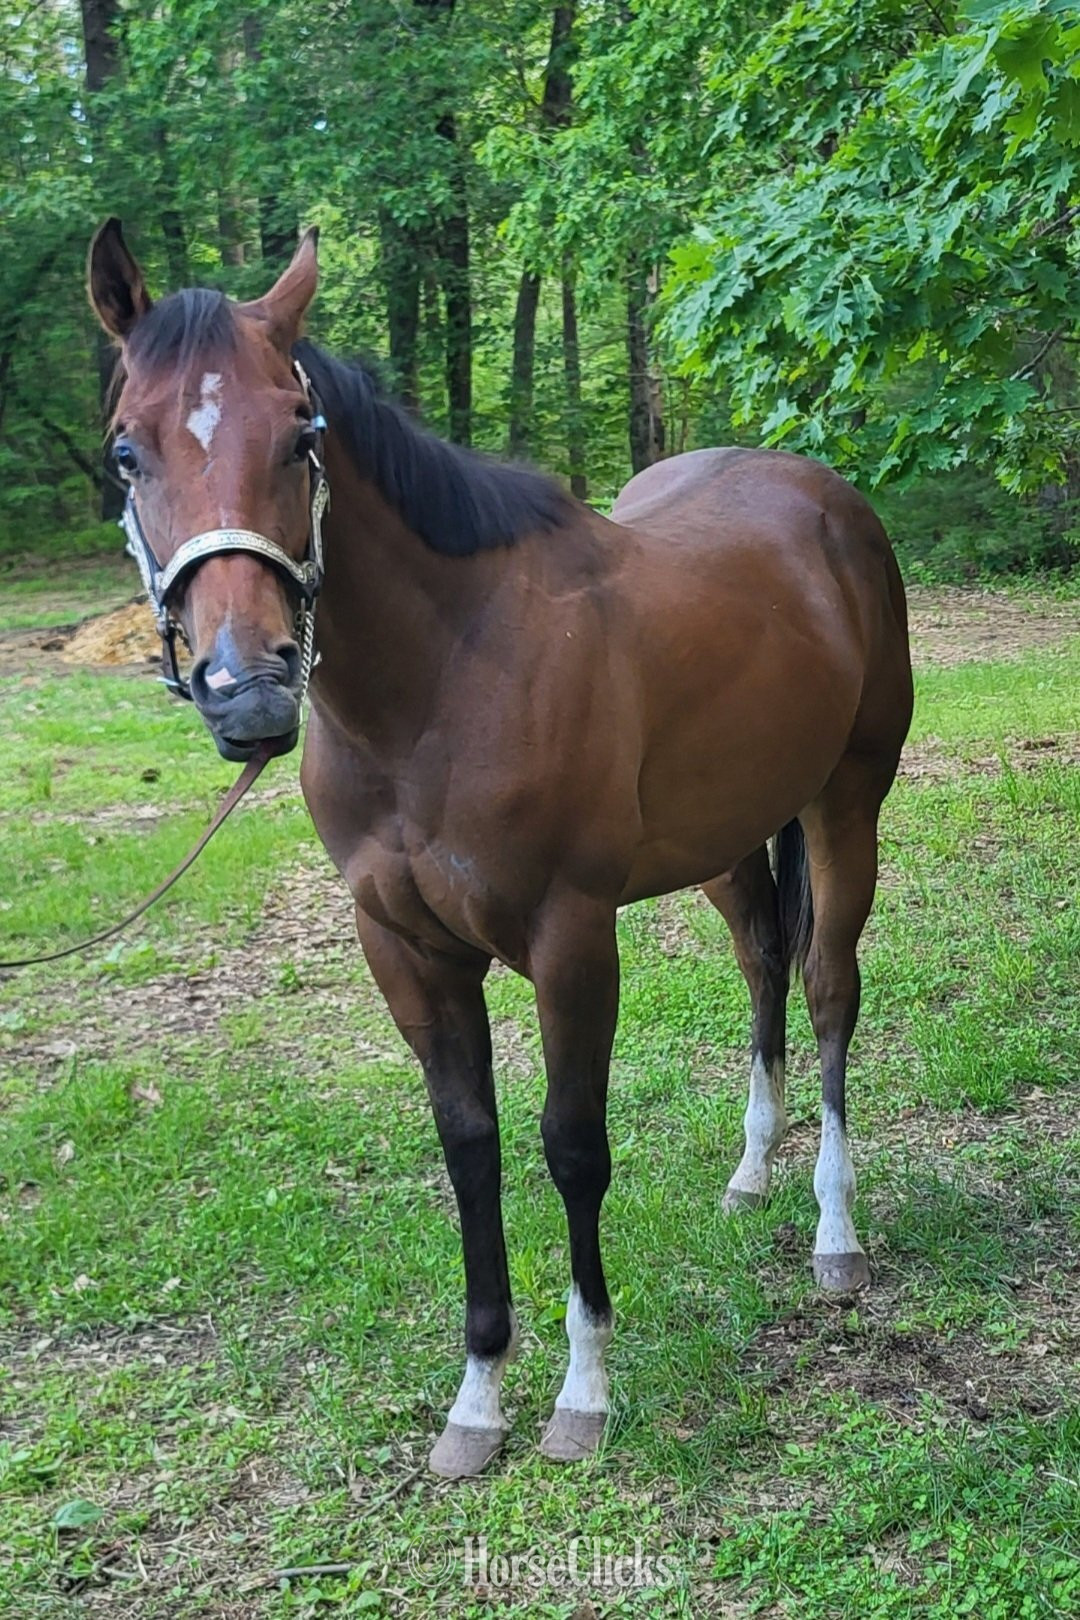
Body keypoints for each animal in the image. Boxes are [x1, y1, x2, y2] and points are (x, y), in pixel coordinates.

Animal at [87, 220, 913, 1479]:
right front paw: (476, 1400)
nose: (252, 691)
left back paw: (833, 1229)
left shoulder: (571, 938)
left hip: (843, 804)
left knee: (827, 988)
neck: (446, 681)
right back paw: (750, 1173)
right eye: (128, 452)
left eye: (302, 433)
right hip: (729, 843)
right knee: (765, 965)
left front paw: (584, 1392)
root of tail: (825, 501)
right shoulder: (407, 949)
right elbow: (468, 1147)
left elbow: (572, 1146)